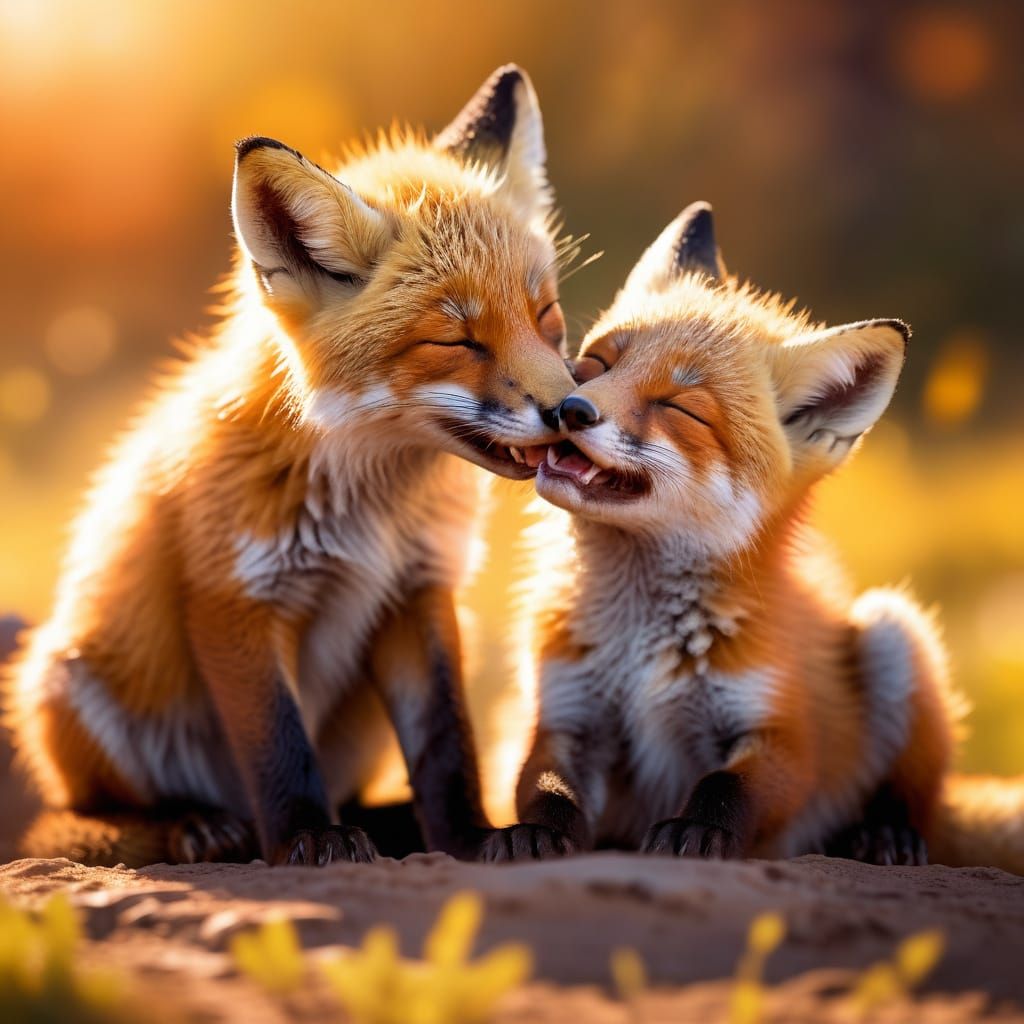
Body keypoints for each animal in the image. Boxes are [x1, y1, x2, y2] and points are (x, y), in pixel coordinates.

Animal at [3, 65, 577, 868]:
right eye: (457, 341)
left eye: (545, 315)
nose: (573, 412)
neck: (372, 510)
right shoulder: (235, 597)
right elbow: (279, 745)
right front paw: (309, 837)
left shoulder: (419, 591)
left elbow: (447, 744)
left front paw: (473, 837)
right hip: (70, 686)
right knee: (77, 818)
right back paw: (188, 826)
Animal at [485, 202, 1024, 873]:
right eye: (595, 364)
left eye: (680, 408)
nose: (571, 410)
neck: (640, 644)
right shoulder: (566, 717)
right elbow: (544, 785)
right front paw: (531, 833)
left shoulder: (775, 727)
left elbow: (729, 786)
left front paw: (699, 831)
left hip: (895, 630)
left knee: (919, 802)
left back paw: (883, 835)